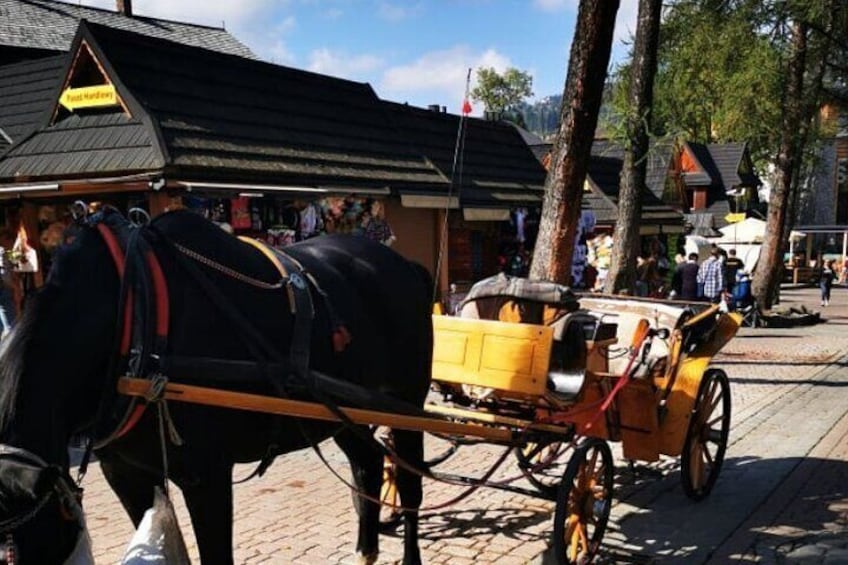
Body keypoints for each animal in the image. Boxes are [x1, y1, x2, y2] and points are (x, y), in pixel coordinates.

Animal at [0, 208, 434, 564]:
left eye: (13, 553)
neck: (133, 314)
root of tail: (406, 265)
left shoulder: (206, 475)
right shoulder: (124, 472)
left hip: (405, 401)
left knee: (410, 486)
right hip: (342, 413)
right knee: (367, 466)